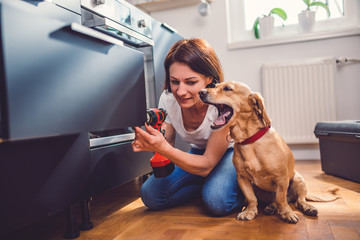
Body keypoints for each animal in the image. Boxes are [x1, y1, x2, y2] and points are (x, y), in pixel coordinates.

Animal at [198, 81, 338, 224]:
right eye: (215, 86)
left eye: (227, 88)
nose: (201, 92)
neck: (249, 141)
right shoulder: (242, 178)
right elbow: (251, 198)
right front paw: (249, 211)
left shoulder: (281, 178)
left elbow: (281, 199)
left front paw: (287, 213)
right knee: (275, 200)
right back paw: (271, 207)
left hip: (298, 180)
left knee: (298, 200)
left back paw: (307, 207)